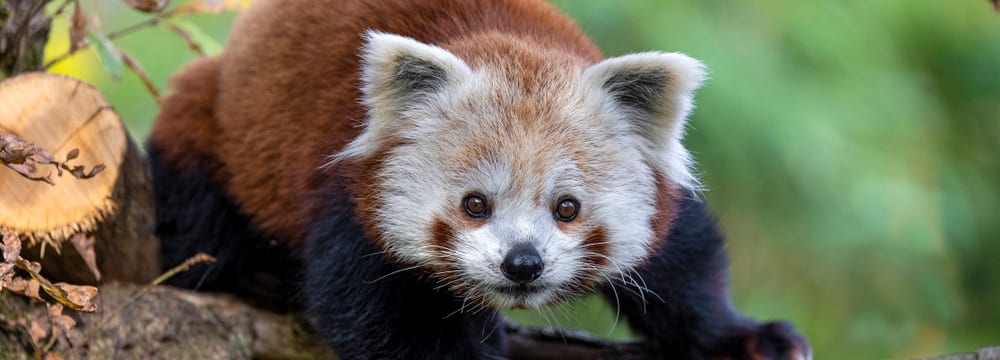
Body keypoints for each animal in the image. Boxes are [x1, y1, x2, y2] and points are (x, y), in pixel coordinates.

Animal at [148, 0, 812, 356]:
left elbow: (681, 264)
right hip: (211, 126)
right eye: (475, 204)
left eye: (567, 208)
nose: (523, 263)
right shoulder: (352, 205)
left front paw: (747, 336)